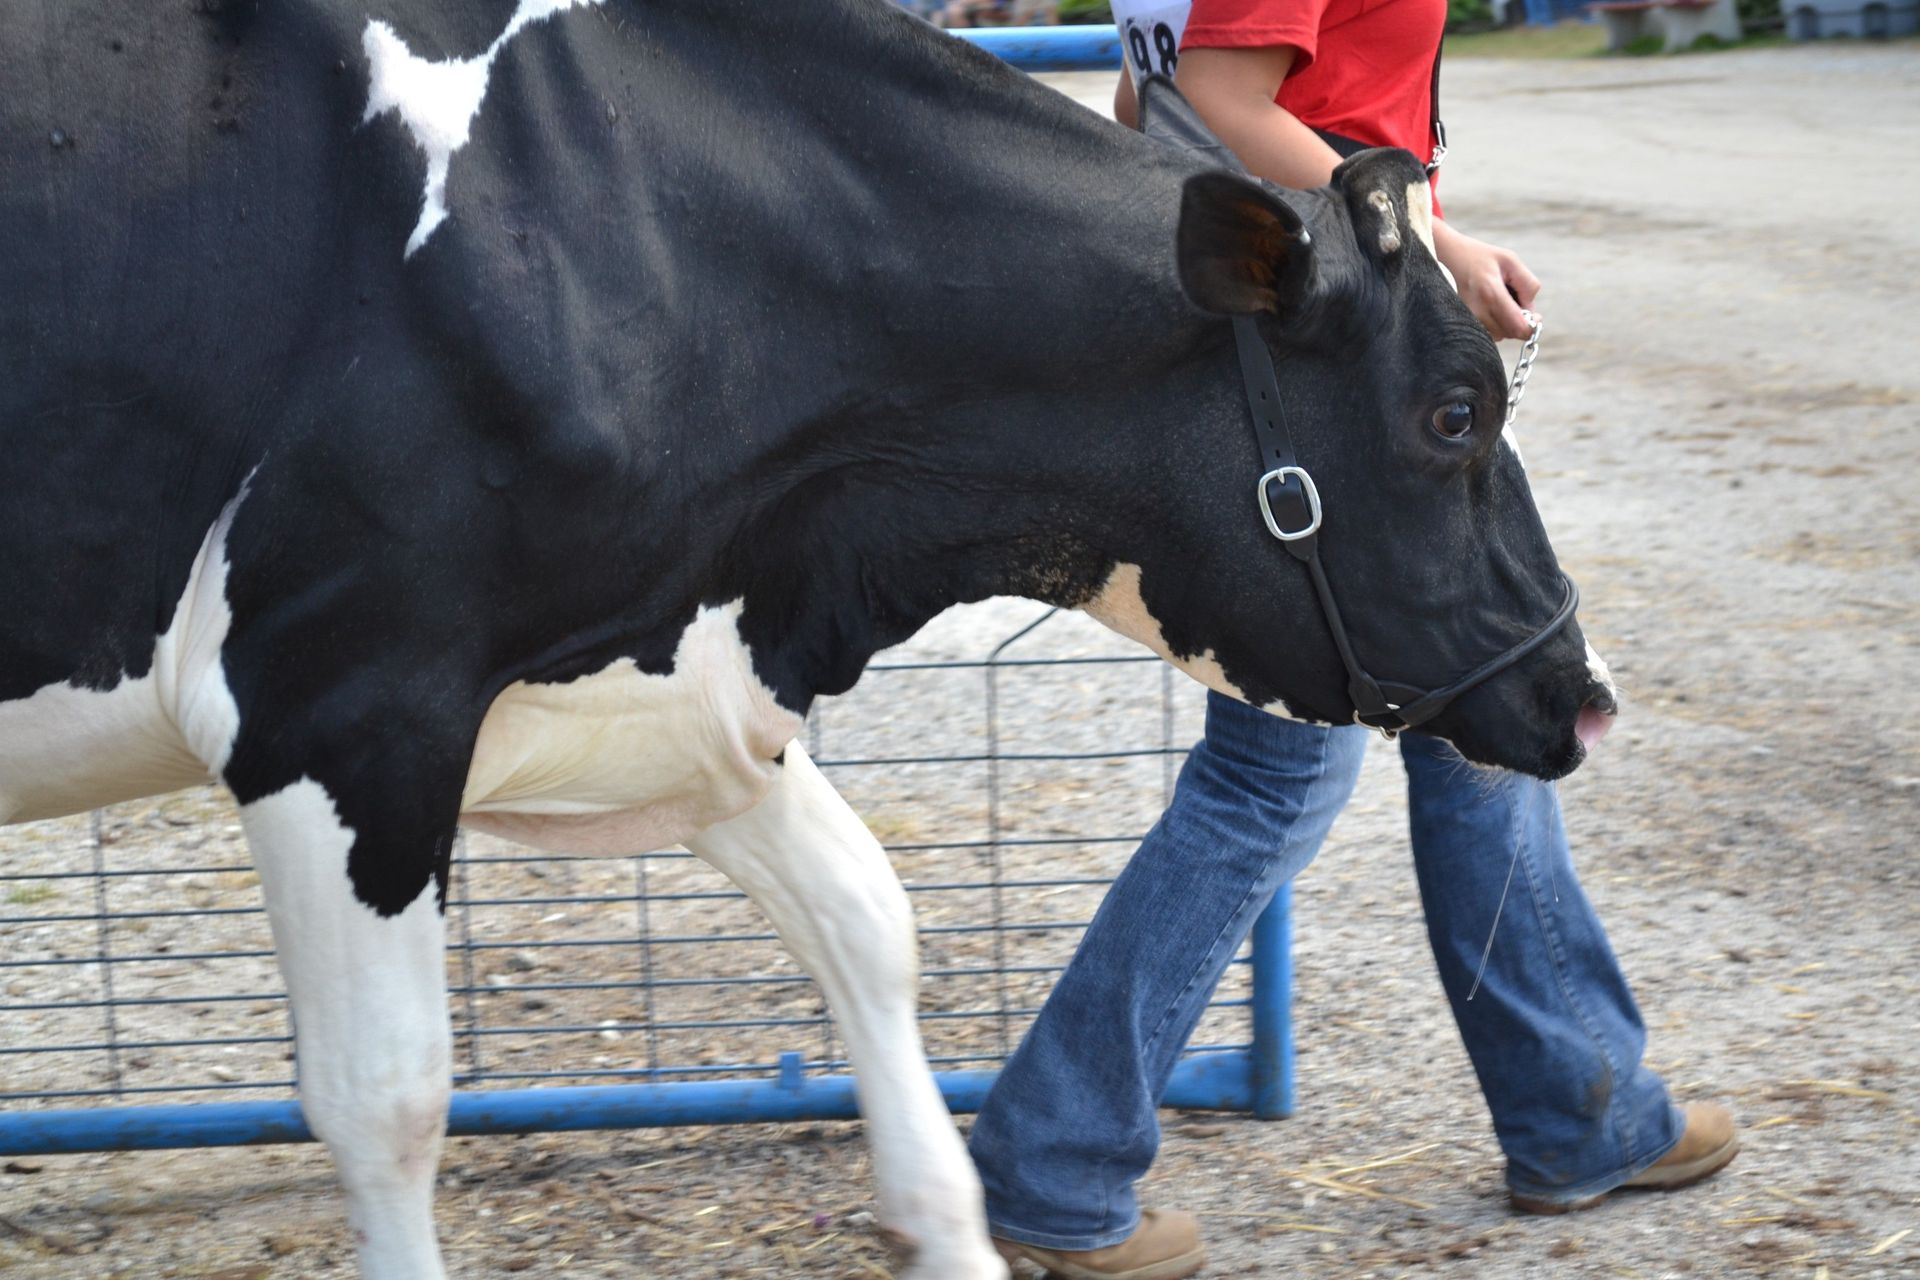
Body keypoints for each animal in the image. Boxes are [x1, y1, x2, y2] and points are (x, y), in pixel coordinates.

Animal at [0, 1, 1616, 1276]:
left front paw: (952, 1224)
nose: (1583, 696)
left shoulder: (682, 680)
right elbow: (384, 1099)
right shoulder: (337, 700)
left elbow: (869, 923)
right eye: (1454, 415)